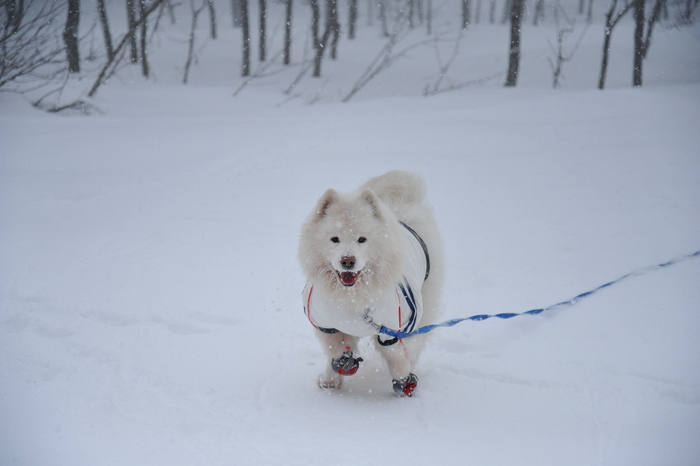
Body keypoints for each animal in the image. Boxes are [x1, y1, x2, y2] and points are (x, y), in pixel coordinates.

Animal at [296, 171, 442, 396]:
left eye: (361, 239)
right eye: (335, 239)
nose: (348, 261)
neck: (353, 297)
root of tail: (403, 202)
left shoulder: (394, 326)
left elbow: (395, 355)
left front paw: (403, 379)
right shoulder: (324, 322)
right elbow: (335, 348)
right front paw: (341, 366)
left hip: (424, 304)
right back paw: (330, 378)